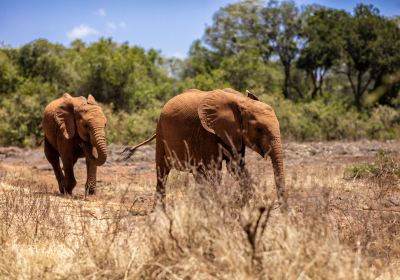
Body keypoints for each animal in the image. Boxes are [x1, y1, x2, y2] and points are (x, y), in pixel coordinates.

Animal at [123, 88, 286, 211]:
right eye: (259, 129)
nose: (281, 209)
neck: (241, 101)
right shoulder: (208, 133)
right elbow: (214, 171)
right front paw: (222, 208)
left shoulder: (234, 137)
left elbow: (236, 167)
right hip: (161, 132)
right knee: (162, 172)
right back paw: (160, 211)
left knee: (198, 174)